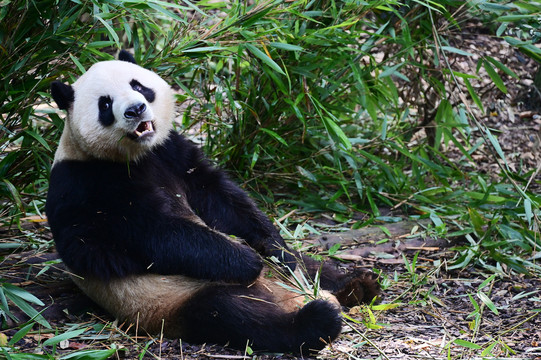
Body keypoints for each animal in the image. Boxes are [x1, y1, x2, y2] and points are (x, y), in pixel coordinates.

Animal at [45, 50, 380, 354]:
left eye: (138, 85)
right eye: (105, 104)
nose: (136, 109)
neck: (136, 156)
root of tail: (289, 298)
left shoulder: (170, 152)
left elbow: (218, 197)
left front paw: (266, 245)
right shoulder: (83, 185)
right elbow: (145, 236)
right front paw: (244, 260)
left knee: (306, 264)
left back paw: (356, 283)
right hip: (174, 298)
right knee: (234, 316)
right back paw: (316, 320)